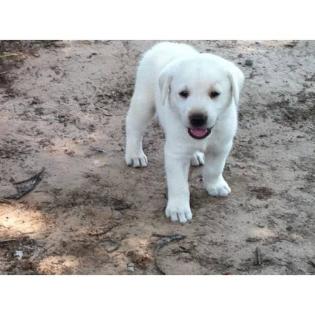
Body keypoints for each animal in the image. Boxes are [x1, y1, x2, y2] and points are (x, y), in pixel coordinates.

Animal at [124, 42, 246, 225]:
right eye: (183, 93)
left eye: (215, 94)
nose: (197, 118)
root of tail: (166, 44)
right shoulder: (176, 154)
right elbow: (179, 185)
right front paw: (178, 209)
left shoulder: (221, 146)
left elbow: (214, 169)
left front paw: (215, 185)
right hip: (143, 102)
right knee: (133, 127)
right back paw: (134, 155)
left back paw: (195, 156)